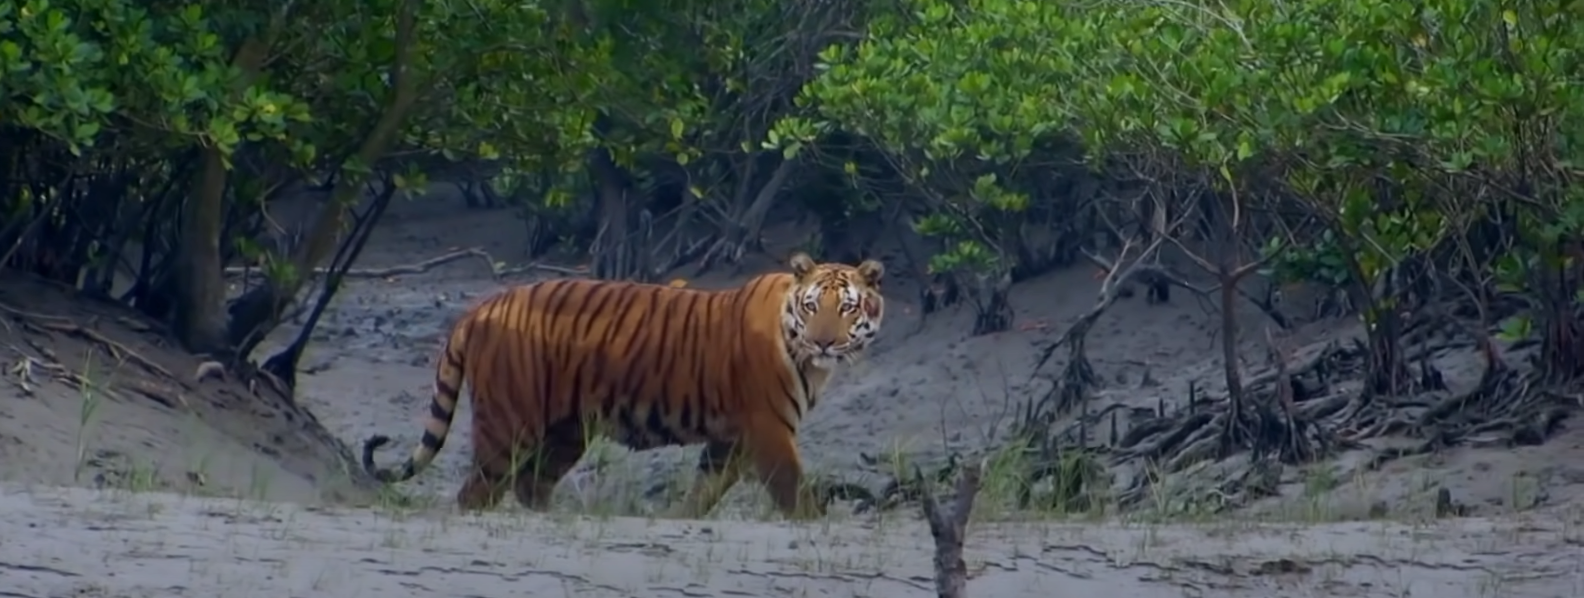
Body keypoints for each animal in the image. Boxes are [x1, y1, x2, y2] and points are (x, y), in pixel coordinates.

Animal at [359, 251, 887, 518]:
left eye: (847, 308)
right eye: (813, 306)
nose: (823, 342)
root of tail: (479, 307)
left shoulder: (731, 439)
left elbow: (705, 490)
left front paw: (680, 520)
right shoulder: (768, 429)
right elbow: (792, 490)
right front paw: (815, 522)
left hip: (567, 430)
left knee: (531, 484)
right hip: (508, 424)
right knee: (478, 489)